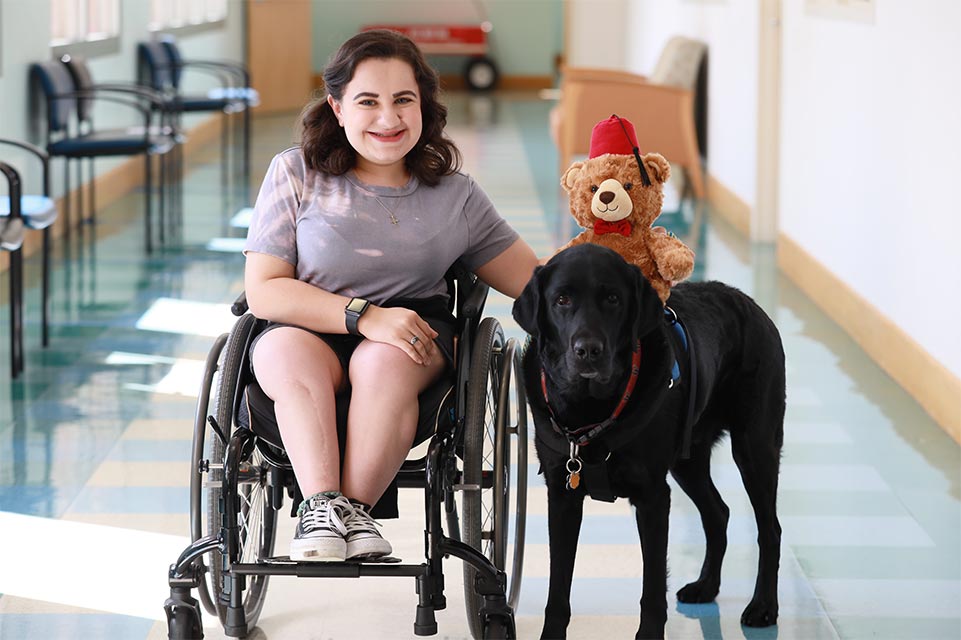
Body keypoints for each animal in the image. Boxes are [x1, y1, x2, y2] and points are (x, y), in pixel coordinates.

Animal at [512, 242, 784, 636]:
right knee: (718, 513)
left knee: (770, 530)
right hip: (689, 459)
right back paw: (706, 586)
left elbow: (653, 589)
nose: (588, 349)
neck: (592, 409)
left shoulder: (653, 498)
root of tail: (750, 303)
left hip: (755, 447)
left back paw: (763, 606)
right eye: (561, 299)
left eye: (612, 298)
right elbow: (558, 589)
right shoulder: (562, 497)